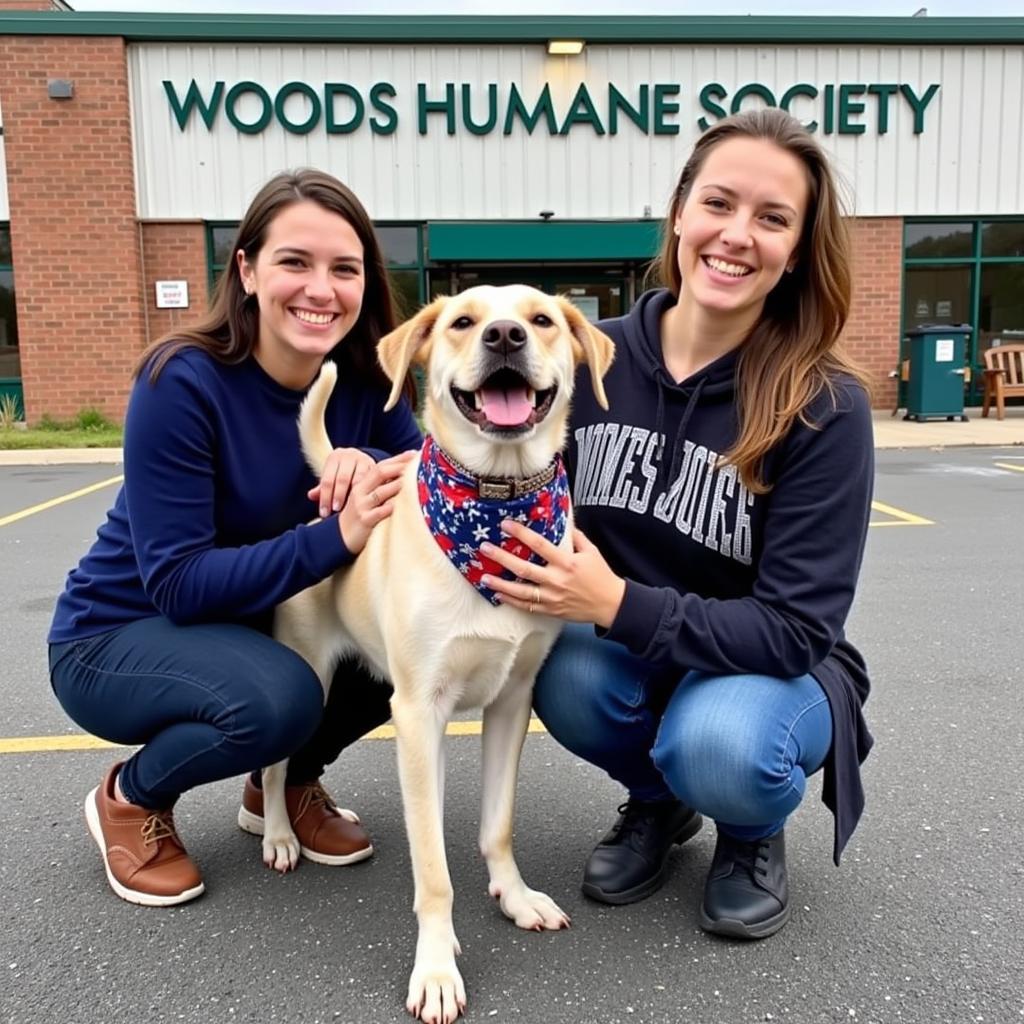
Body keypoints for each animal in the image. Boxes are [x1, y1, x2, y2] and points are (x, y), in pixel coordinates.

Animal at [266, 286, 614, 1024]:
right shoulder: (418, 711)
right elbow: (432, 872)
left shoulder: (512, 700)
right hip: (309, 671)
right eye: (462, 322)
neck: (495, 506)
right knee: (276, 766)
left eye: (542, 319)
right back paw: (278, 834)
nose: (506, 336)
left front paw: (514, 896)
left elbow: (498, 825)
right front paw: (435, 969)